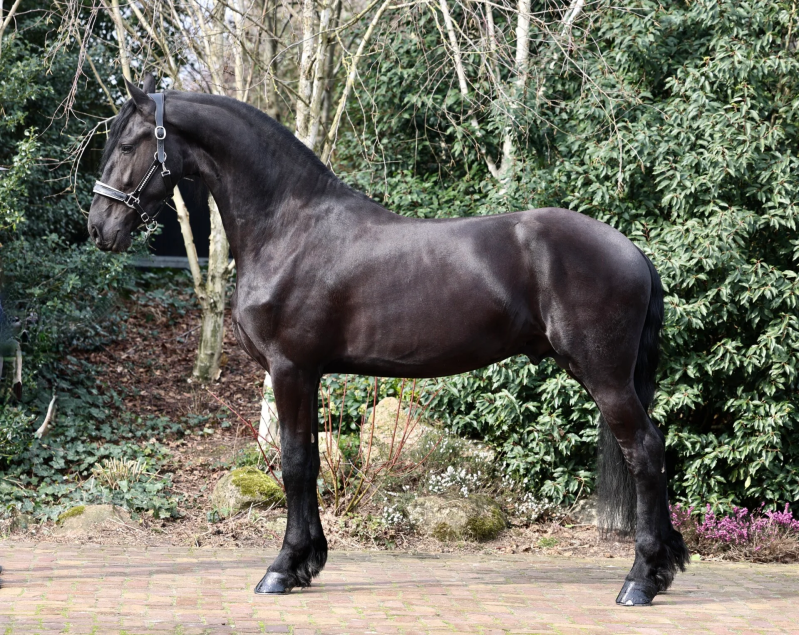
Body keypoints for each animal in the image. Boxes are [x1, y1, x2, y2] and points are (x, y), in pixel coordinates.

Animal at [87, 75, 689, 606]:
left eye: (129, 142)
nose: (98, 227)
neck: (289, 226)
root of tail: (633, 253)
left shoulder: (290, 368)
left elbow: (294, 463)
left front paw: (282, 569)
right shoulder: (308, 374)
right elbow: (309, 460)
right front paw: (307, 562)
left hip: (605, 377)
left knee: (645, 452)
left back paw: (639, 581)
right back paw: (661, 570)